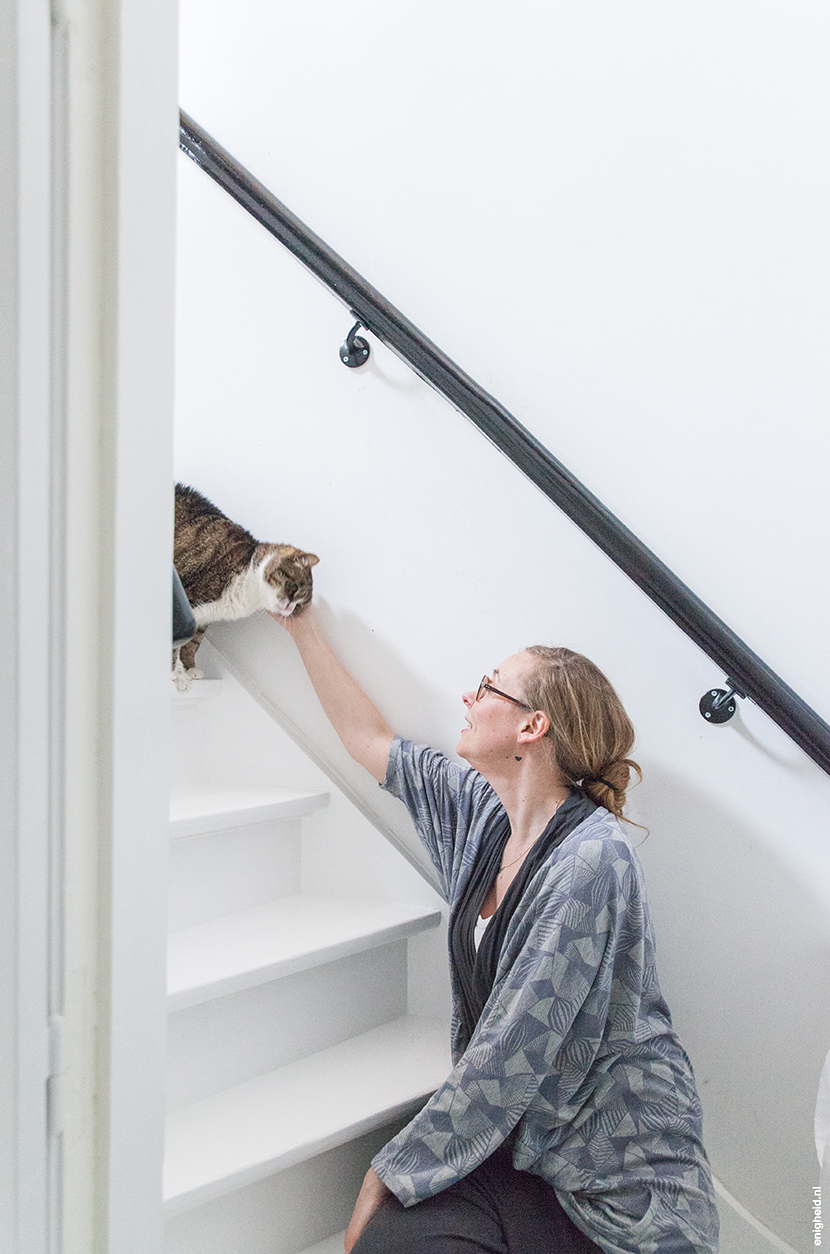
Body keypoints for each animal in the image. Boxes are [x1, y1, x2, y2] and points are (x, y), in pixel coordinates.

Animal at [174, 481, 319, 692]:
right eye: (295, 588)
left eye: (299, 606)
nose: (290, 607)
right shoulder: (187, 601)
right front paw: (177, 674)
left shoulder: (204, 618)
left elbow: (193, 642)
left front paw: (189, 667)